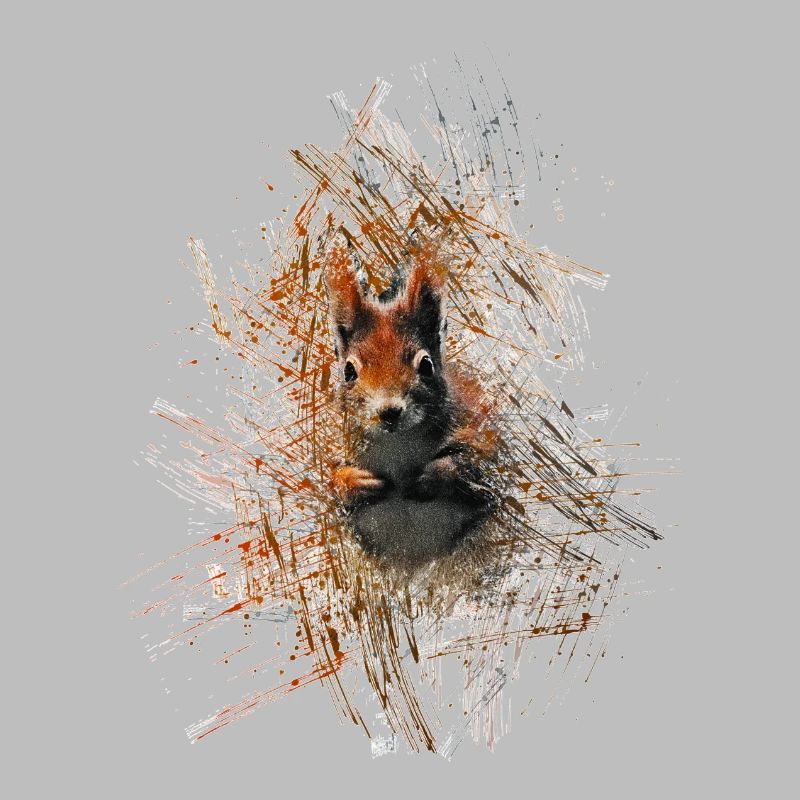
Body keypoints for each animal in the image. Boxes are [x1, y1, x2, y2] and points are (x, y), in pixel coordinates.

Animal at [323, 239, 500, 568]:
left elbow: (478, 465)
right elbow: (327, 481)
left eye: (426, 365)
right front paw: (356, 482)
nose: (389, 411)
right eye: (348, 371)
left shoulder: (483, 432)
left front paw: (433, 474)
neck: (398, 444)